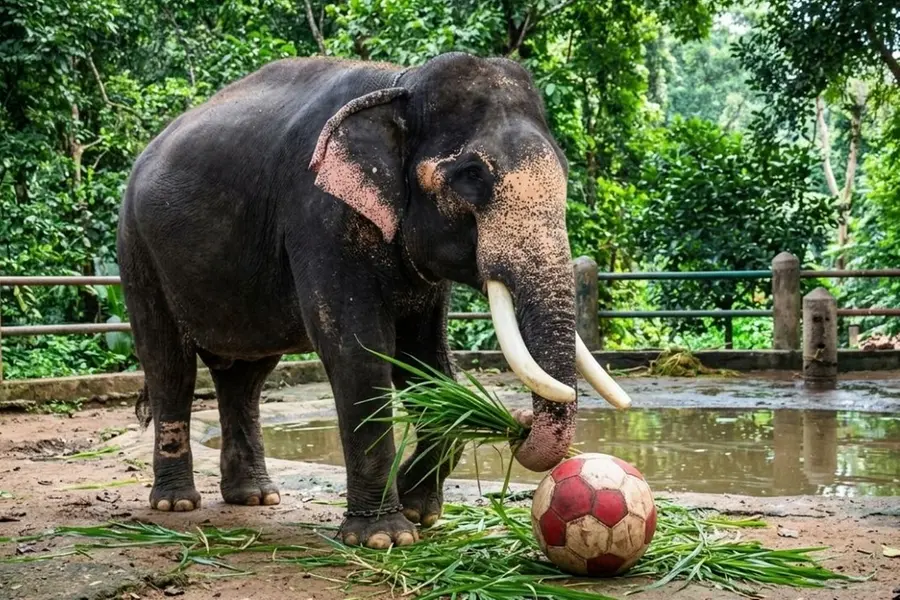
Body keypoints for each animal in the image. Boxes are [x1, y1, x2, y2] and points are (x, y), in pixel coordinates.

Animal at [116, 51, 631, 549]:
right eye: (471, 175)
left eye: (564, 170)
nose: (519, 423)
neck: (402, 83)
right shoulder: (319, 214)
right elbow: (358, 352)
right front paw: (384, 536)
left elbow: (425, 362)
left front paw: (419, 511)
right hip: (137, 250)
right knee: (169, 365)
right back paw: (177, 504)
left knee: (245, 377)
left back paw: (255, 497)